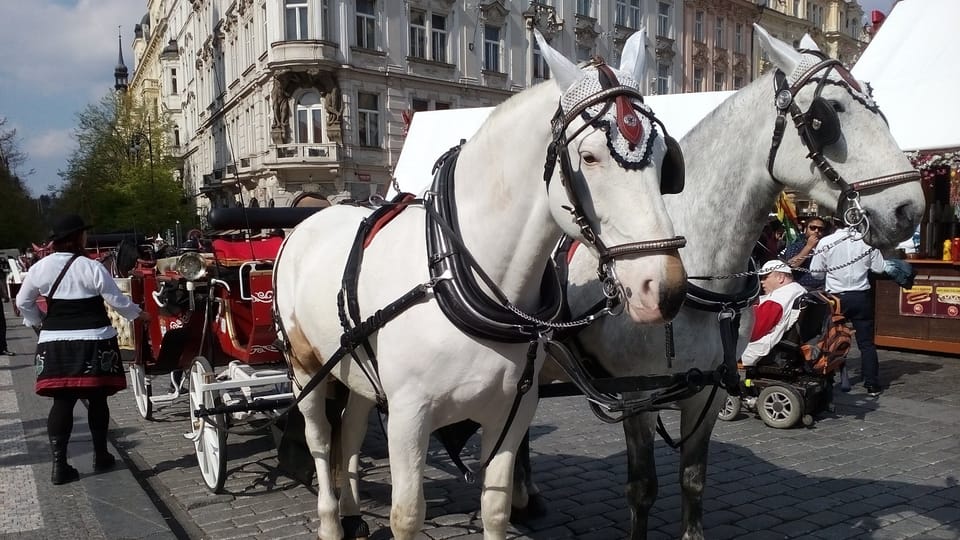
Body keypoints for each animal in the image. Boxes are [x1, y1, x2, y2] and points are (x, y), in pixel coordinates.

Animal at [274, 30, 688, 540]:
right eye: (589, 157)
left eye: (664, 161)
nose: (665, 287)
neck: (461, 278)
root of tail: (309, 220)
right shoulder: (408, 418)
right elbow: (406, 514)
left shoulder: (512, 412)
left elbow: (496, 507)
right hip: (305, 365)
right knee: (319, 437)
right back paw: (332, 520)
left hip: (354, 366)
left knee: (349, 427)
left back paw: (351, 511)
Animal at [512, 25, 928, 540]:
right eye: (827, 114)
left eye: (874, 103)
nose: (909, 209)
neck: (695, 273)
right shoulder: (638, 396)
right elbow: (641, 488)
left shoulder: (708, 393)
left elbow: (694, 479)